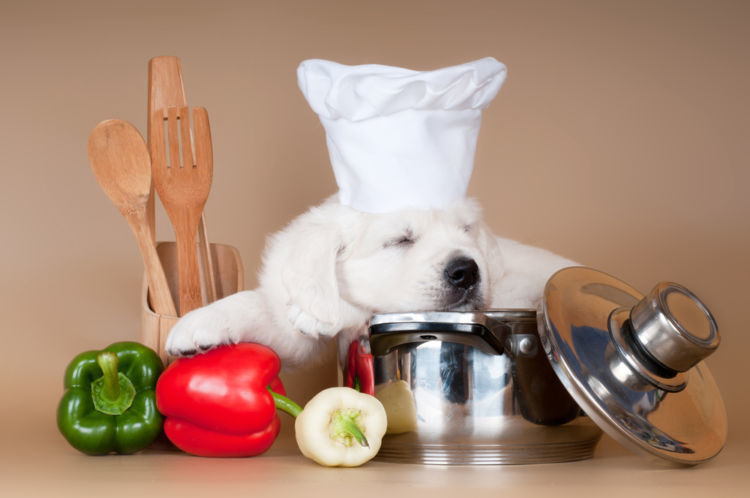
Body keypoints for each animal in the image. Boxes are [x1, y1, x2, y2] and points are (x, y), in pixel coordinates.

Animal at [164, 197, 576, 366]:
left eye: (466, 230)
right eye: (402, 240)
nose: (467, 271)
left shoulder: (522, 283)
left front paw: (323, 314)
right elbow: (264, 312)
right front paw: (199, 324)